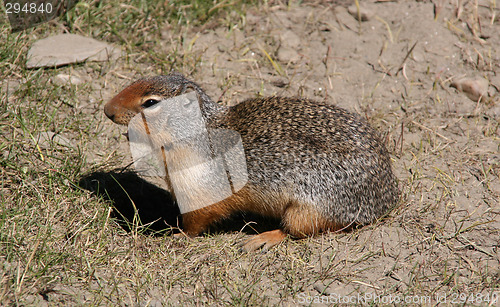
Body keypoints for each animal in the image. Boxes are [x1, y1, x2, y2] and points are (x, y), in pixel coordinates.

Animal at [104, 73, 398, 253]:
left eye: (150, 102)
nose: (107, 110)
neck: (196, 133)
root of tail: (387, 198)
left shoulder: (200, 189)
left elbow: (195, 222)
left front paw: (177, 236)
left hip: (307, 208)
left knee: (304, 230)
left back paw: (261, 239)